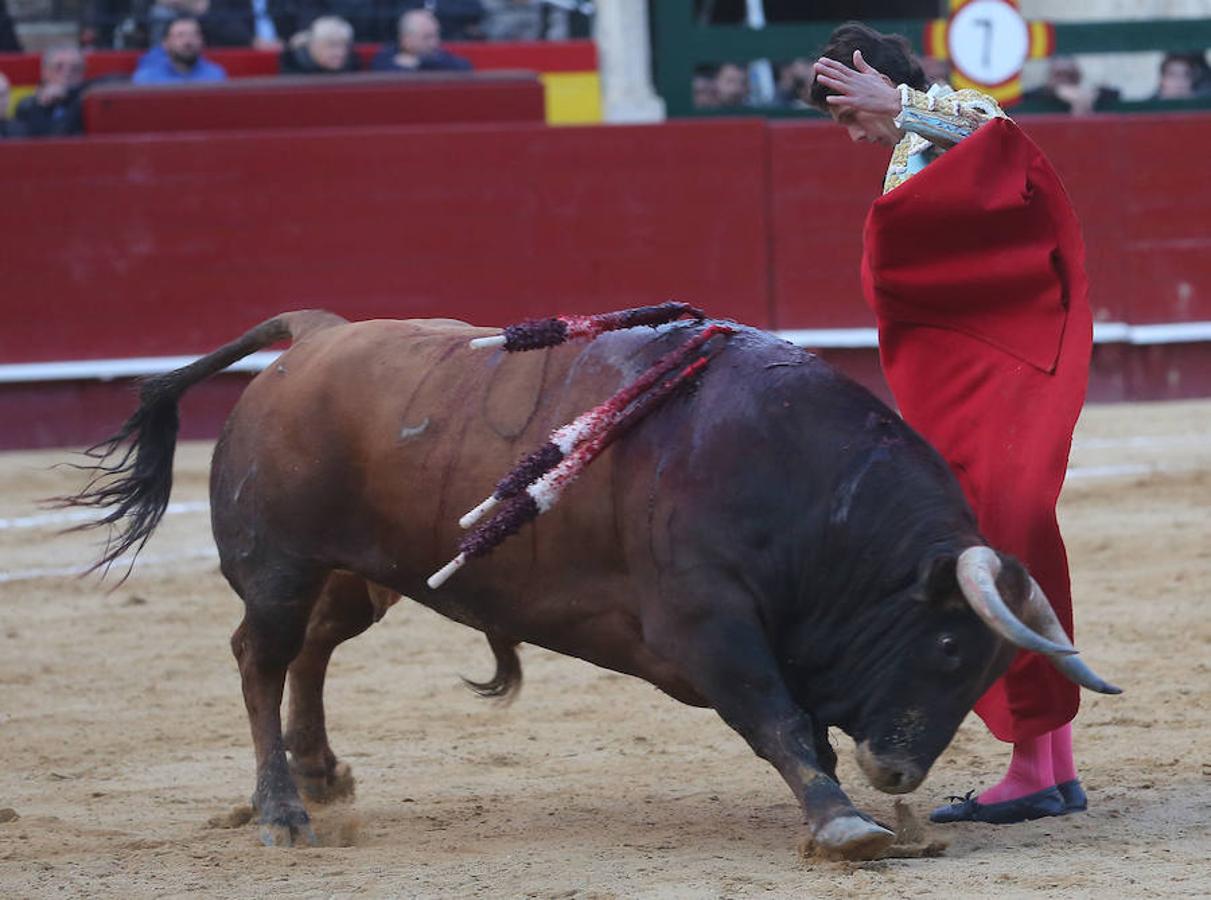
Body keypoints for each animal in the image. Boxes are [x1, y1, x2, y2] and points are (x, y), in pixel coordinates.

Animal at [63, 312, 1114, 862]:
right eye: (946, 645)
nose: (898, 773)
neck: (815, 499)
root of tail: (316, 334)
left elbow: (801, 723)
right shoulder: (708, 626)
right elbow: (778, 719)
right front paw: (846, 823)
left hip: (358, 574)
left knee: (311, 651)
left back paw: (321, 776)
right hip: (279, 564)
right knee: (261, 655)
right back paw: (281, 811)